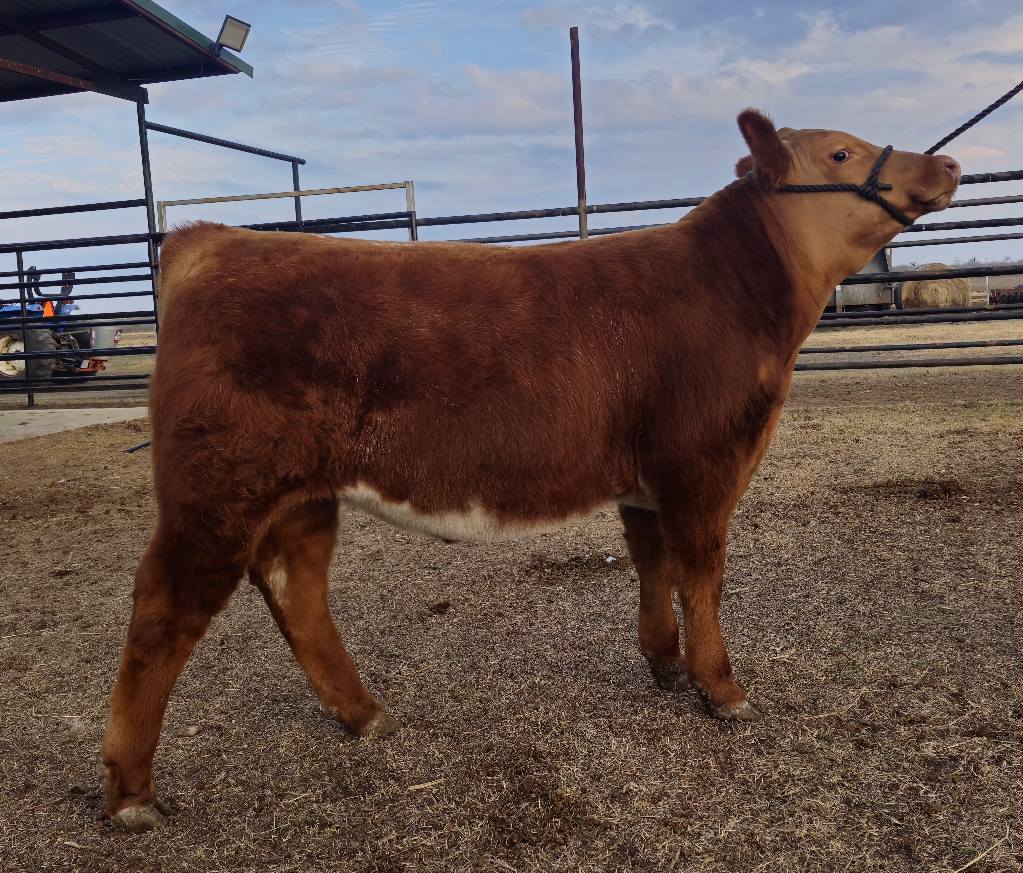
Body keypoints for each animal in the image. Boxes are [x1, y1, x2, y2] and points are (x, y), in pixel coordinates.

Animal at [102, 109, 960, 831]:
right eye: (840, 151)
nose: (947, 161)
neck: (735, 296)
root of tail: (214, 241)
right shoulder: (703, 464)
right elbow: (702, 574)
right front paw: (721, 689)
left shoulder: (645, 480)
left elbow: (653, 563)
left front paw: (663, 661)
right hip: (215, 488)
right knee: (164, 608)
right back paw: (131, 792)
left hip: (301, 495)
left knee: (294, 587)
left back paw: (364, 713)